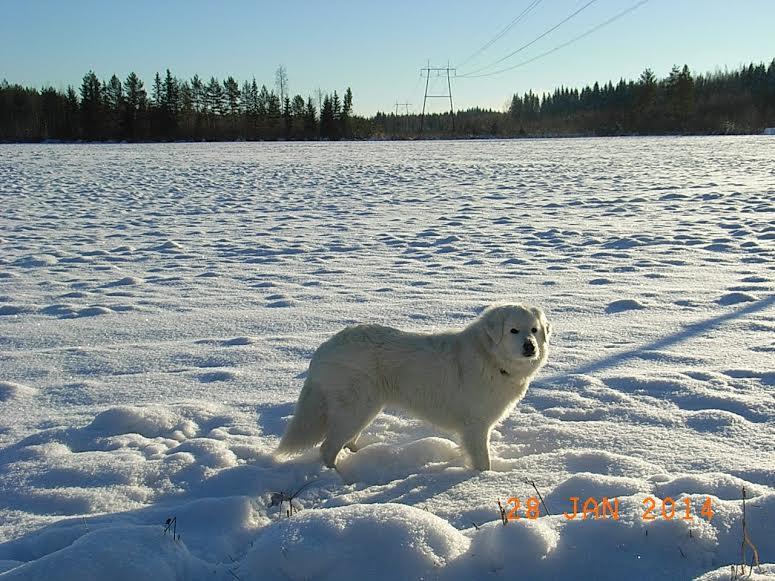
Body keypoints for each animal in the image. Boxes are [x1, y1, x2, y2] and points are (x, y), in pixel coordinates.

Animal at [278, 304, 552, 472]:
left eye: (534, 330)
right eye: (513, 330)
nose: (530, 346)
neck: (490, 358)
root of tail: (325, 348)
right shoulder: (475, 425)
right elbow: (482, 461)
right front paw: (483, 479)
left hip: (364, 409)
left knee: (345, 442)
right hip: (355, 409)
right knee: (327, 448)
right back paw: (337, 478)